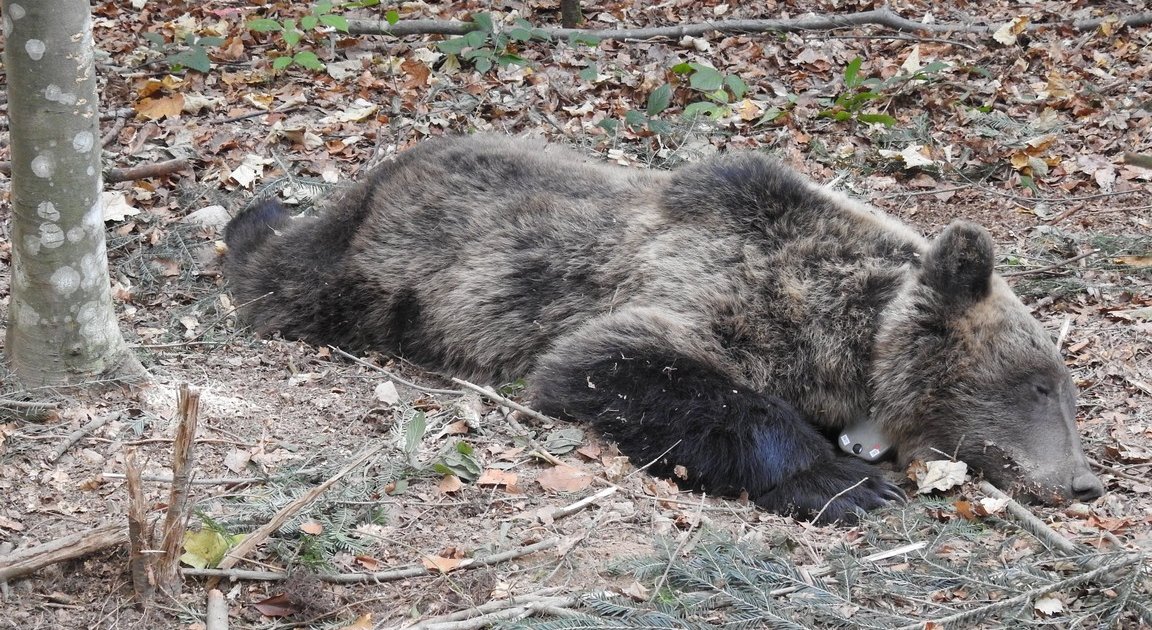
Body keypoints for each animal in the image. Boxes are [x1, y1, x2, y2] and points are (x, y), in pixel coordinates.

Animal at [226, 134, 1105, 522]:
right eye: (1038, 385)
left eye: (1064, 390)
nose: (1085, 480)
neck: (849, 334)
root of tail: (387, 167)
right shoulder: (719, 295)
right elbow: (615, 364)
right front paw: (845, 483)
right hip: (381, 270)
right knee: (284, 277)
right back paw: (252, 219)